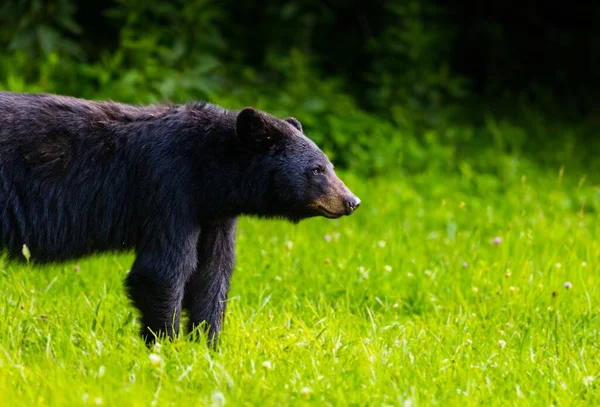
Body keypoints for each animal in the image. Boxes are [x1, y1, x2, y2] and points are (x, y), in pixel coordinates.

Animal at [0, 93, 358, 348]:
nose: (352, 201)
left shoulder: (214, 212)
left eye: (330, 165)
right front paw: (166, 347)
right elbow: (163, 268)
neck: (208, 169)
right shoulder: (168, 187)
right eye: (317, 169)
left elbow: (213, 271)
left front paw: (207, 346)